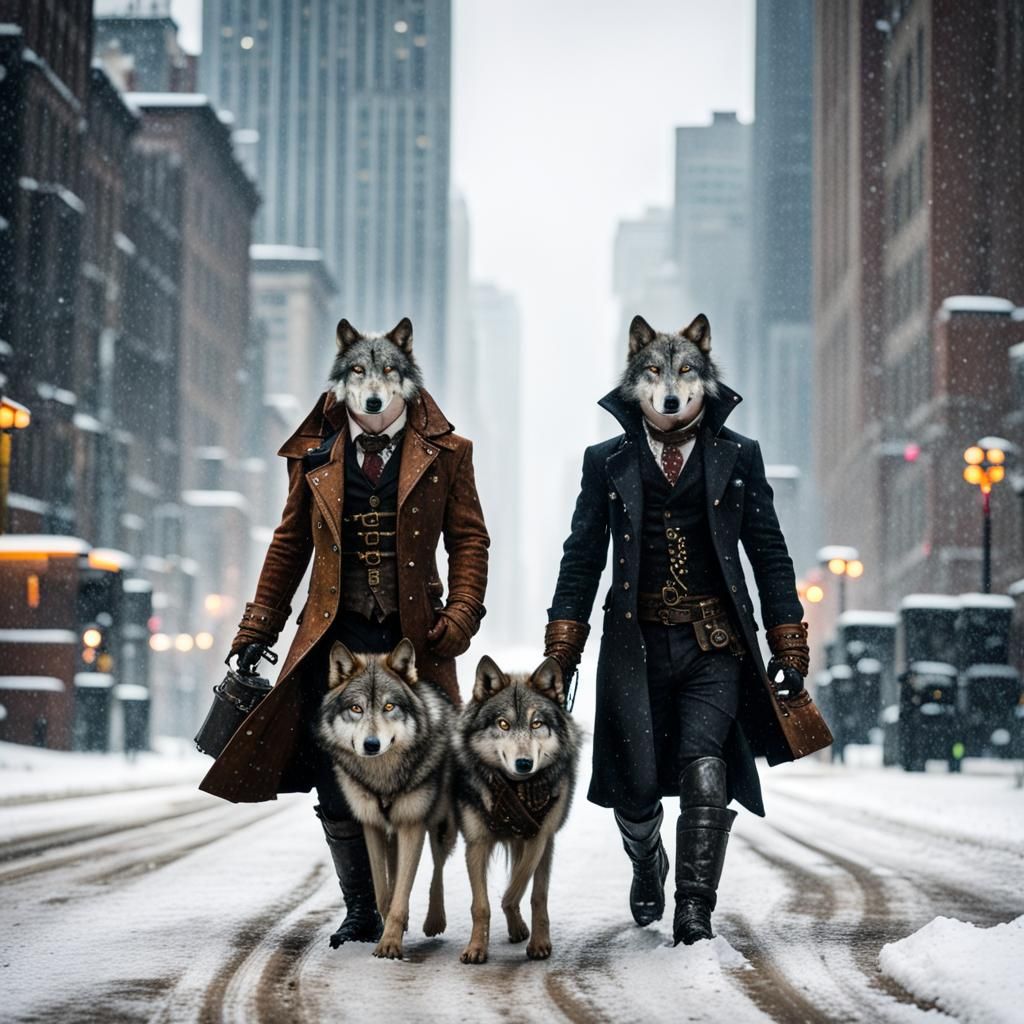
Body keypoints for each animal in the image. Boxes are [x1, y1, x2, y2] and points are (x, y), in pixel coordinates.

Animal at [318, 638, 457, 959]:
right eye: (356, 708)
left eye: (389, 706)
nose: (371, 744)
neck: (383, 777)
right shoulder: (371, 825)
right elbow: (383, 891)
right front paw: (388, 930)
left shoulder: (412, 825)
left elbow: (403, 890)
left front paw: (391, 944)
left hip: (442, 826)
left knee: (438, 868)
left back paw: (435, 921)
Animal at [452, 655, 582, 964]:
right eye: (503, 723)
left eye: (536, 724)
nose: (524, 763)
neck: (514, 794)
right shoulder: (476, 842)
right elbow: (481, 905)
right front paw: (476, 948)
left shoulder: (540, 837)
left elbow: (526, 892)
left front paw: (539, 943)